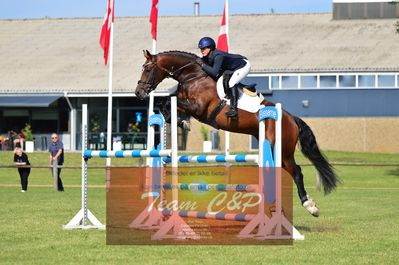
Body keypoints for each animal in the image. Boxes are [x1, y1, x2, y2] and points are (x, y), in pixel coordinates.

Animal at [136, 49, 340, 217]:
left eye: (147, 68)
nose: (138, 93)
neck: (193, 76)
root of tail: (291, 118)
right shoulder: (185, 102)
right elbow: (166, 104)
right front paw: (180, 121)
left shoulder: (199, 108)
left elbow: (170, 103)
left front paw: (183, 122)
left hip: (281, 149)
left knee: (297, 172)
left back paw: (309, 206)